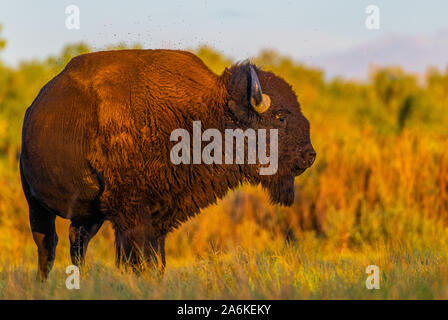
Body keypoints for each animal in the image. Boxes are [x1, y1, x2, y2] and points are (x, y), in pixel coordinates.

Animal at [21, 48, 316, 278]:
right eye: (281, 117)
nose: (309, 155)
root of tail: (32, 109)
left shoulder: (160, 216)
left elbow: (155, 259)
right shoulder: (131, 213)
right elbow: (139, 260)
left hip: (89, 214)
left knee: (77, 244)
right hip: (36, 203)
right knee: (47, 246)